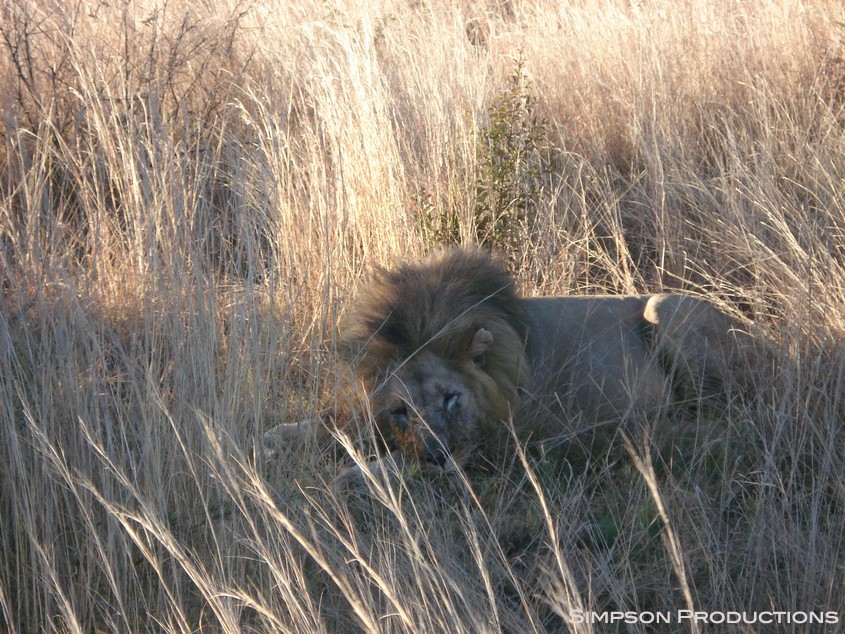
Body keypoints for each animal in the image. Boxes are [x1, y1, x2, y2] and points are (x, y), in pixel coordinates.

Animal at [340, 247, 760, 470]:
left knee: (727, 414)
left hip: (664, 306)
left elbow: (394, 463)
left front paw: (355, 475)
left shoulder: (508, 435)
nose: (437, 458)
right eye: (399, 412)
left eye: (450, 398)